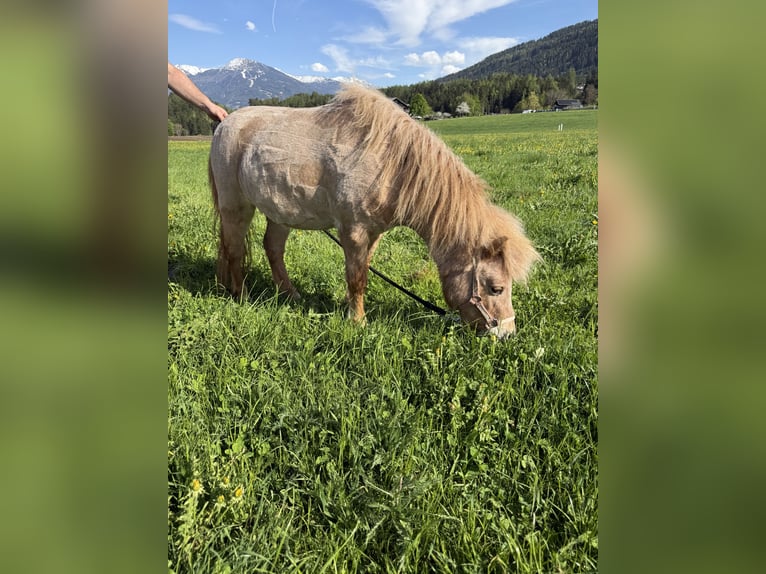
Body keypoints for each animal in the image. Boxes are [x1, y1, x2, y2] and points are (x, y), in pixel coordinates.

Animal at [209, 84, 540, 338]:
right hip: (236, 206)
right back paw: (240, 296)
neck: (392, 164)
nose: (506, 334)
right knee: (234, 249)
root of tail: (224, 125)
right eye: (496, 288)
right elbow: (356, 277)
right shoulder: (353, 230)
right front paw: (358, 322)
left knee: (273, 249)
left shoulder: (375, 233)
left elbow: (361, 272)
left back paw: (290, 294)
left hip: (280, 213)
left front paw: (350, 310)